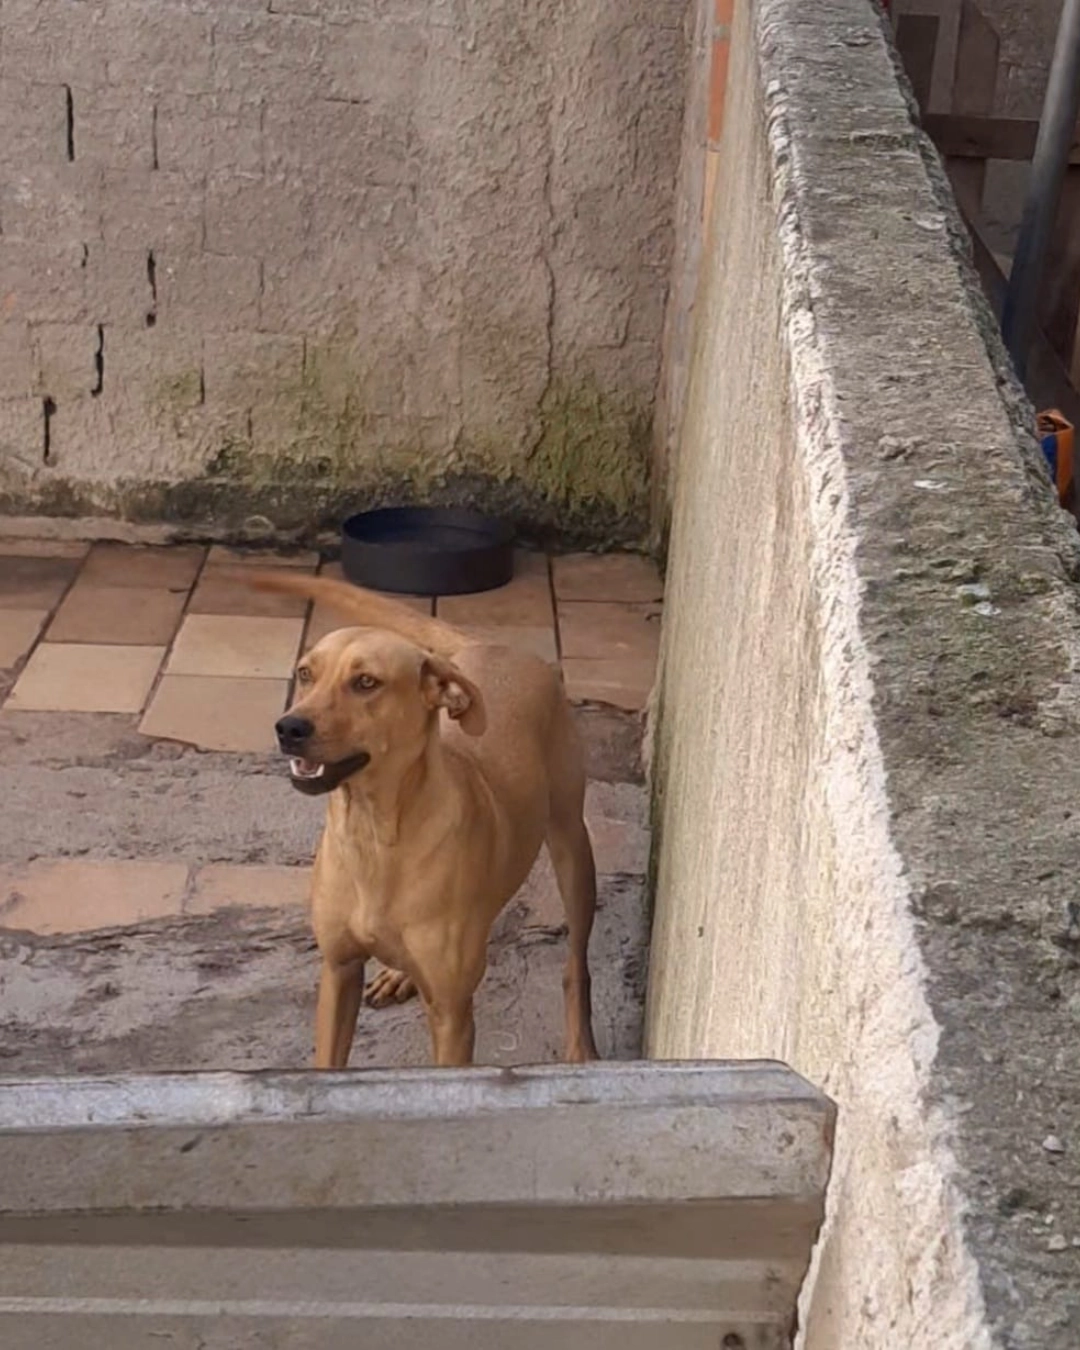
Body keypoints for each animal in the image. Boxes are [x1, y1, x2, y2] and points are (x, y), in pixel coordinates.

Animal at [253, 575, 599, 1069]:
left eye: (366, 682)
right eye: (305, 673)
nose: (289, 728)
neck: (375, 836)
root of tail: (493, 645)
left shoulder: (453, 1015)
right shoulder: (338, 971)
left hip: (572, 847)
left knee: (576, 964)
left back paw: (580, 1044)